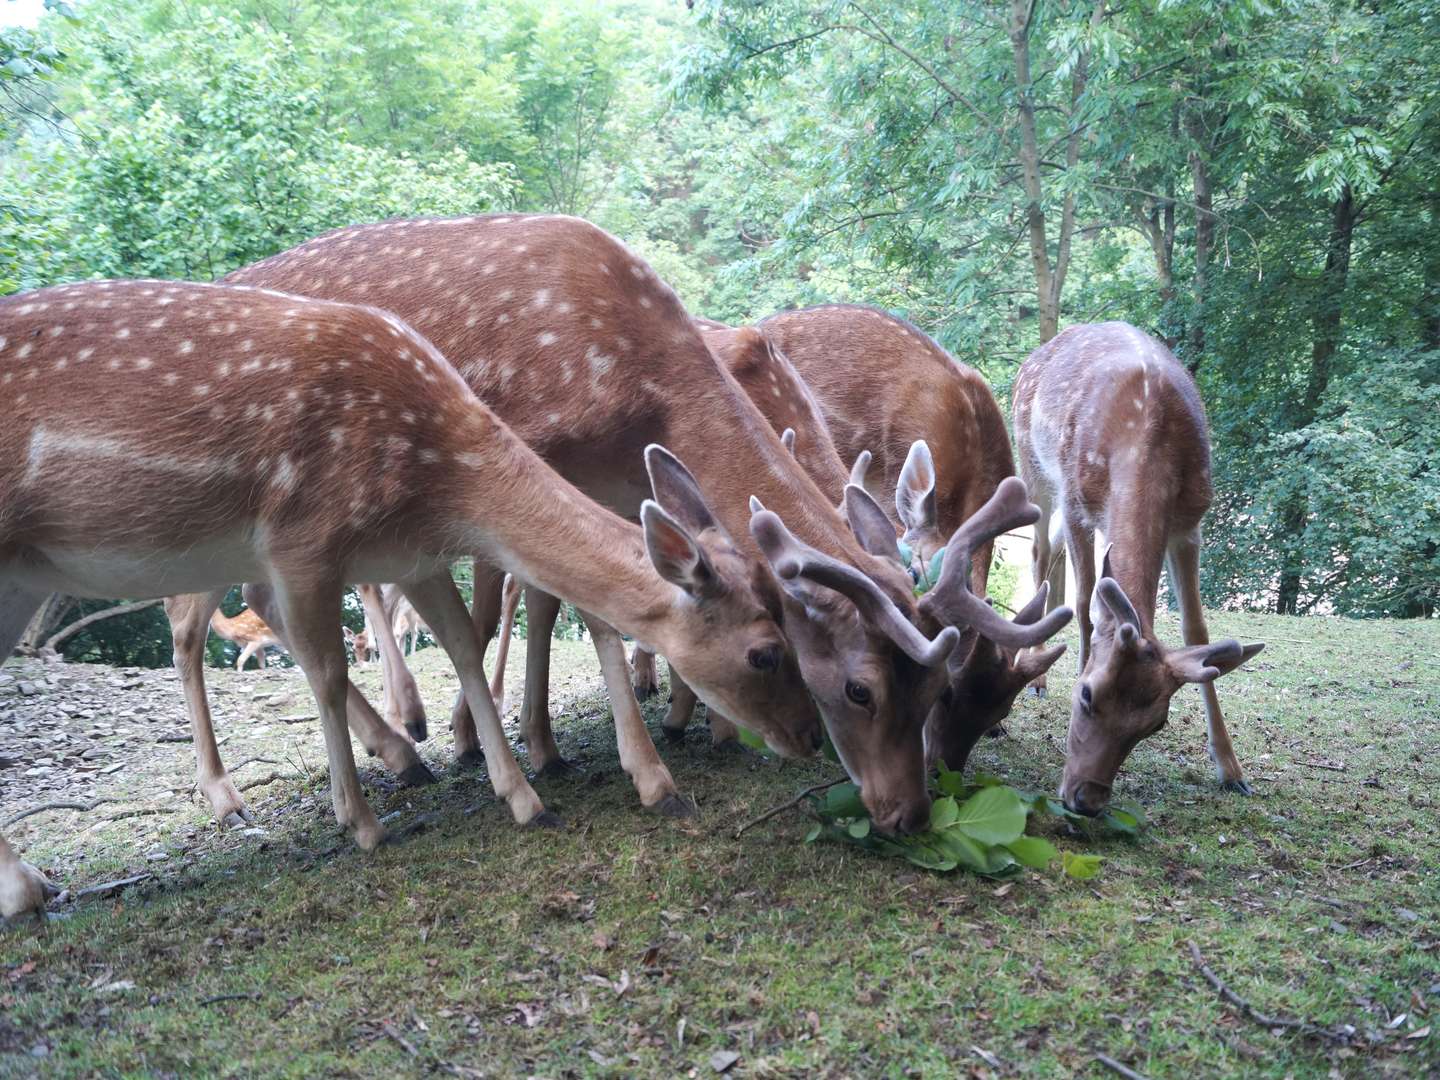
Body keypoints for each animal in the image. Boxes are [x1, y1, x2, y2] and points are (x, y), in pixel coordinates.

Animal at [0, 280, 835, 921]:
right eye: (767, 651)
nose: (810, 737)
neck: (436, 475)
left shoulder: (412, 554)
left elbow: (465, 641)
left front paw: (522, 795)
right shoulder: (303, 540)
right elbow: (328, 674)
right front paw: (364, 822)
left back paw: (36, 882)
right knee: (185, 626)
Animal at [1008, 325, 1267, 817]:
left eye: (1156, 724)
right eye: (1086, 695)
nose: (1086, 800)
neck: (1145, 436)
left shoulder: (1189, 523)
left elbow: (1196, 629)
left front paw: (1231, 769)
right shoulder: (1077, 501)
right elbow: (1086, 601)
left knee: (1050, 547)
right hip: (1033, 462)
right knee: (1037, 548)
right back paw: (1037, 673)